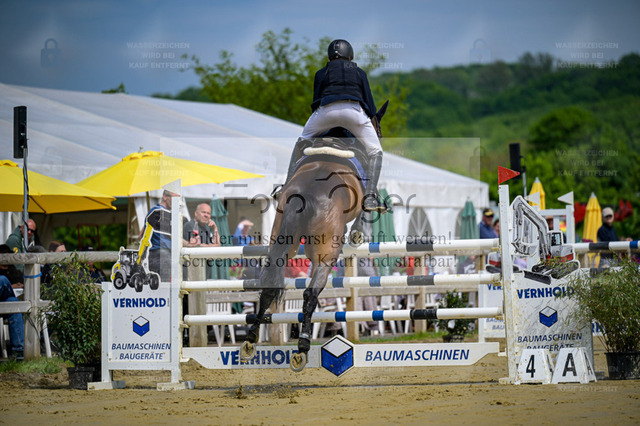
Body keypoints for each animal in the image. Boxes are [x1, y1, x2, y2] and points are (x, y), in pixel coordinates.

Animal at [240, 101, 388, 371]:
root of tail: (304, 193)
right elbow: (365, 210)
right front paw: (358, 233)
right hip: (325, 253)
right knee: (310, 293)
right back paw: (303, 345)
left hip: (280, 242)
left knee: (268, 287)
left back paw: (251, 339)